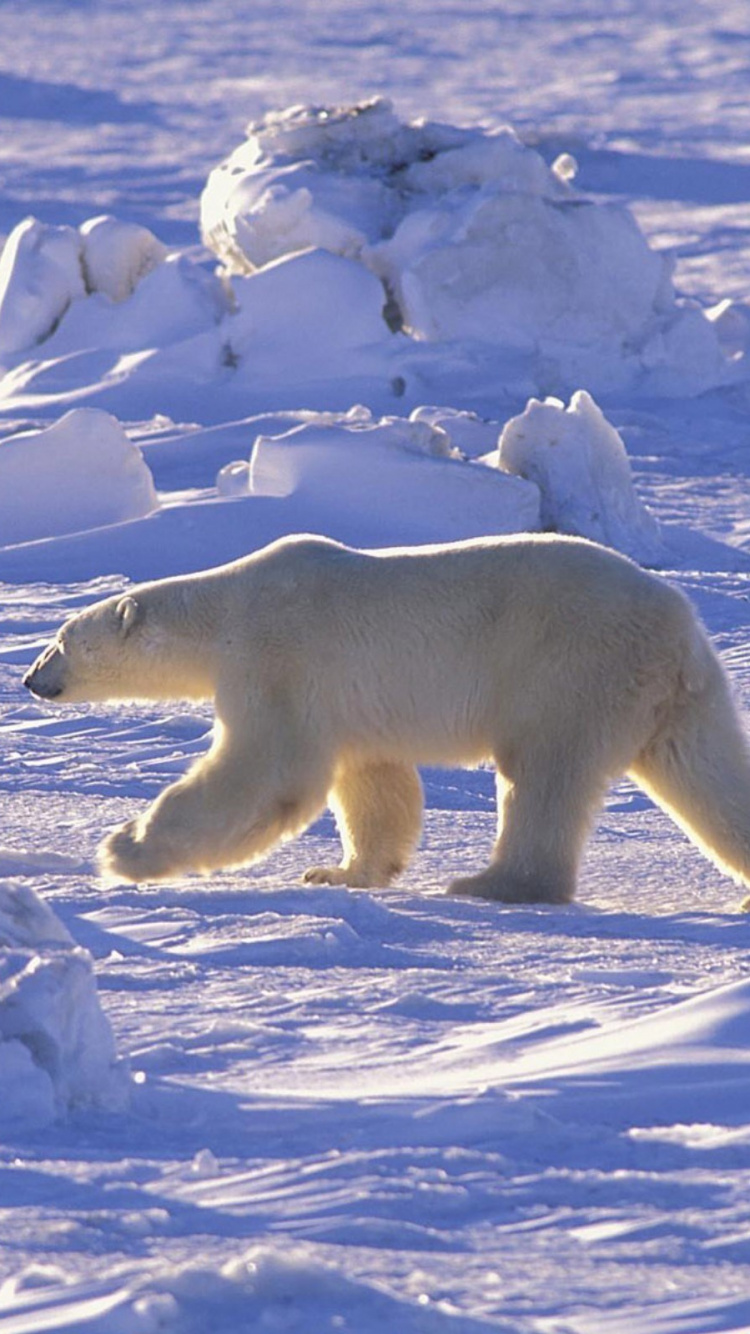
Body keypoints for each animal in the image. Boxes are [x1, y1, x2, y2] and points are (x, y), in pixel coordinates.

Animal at [22, 532, 750, 907]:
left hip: (569, 667)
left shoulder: (276, 660)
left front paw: (124, 849)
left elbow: (267, 773)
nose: (30, 679)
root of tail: (677, 626)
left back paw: (494, 883)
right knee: (708, 772)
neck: (225, 609)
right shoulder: (345, 702)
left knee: (543, 775)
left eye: (60, 639)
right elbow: (373, 783)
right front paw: (340, 873)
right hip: (678, 696)